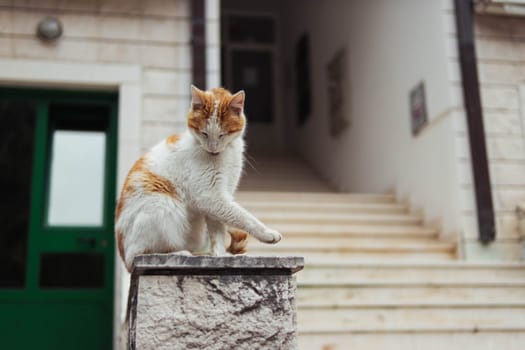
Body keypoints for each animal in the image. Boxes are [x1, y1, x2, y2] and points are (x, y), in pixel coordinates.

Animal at [115, 86, 282, 272]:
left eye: (222, 135)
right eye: (204, 133)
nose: (213, 149)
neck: (224, 154)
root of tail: (124, 257)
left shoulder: (219, 199)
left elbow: (218, 232)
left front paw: (220, 256)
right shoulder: (210, 196)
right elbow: (242, 216)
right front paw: (267, 233)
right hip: (162, 205)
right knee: (143, 253)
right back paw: (180, 254)